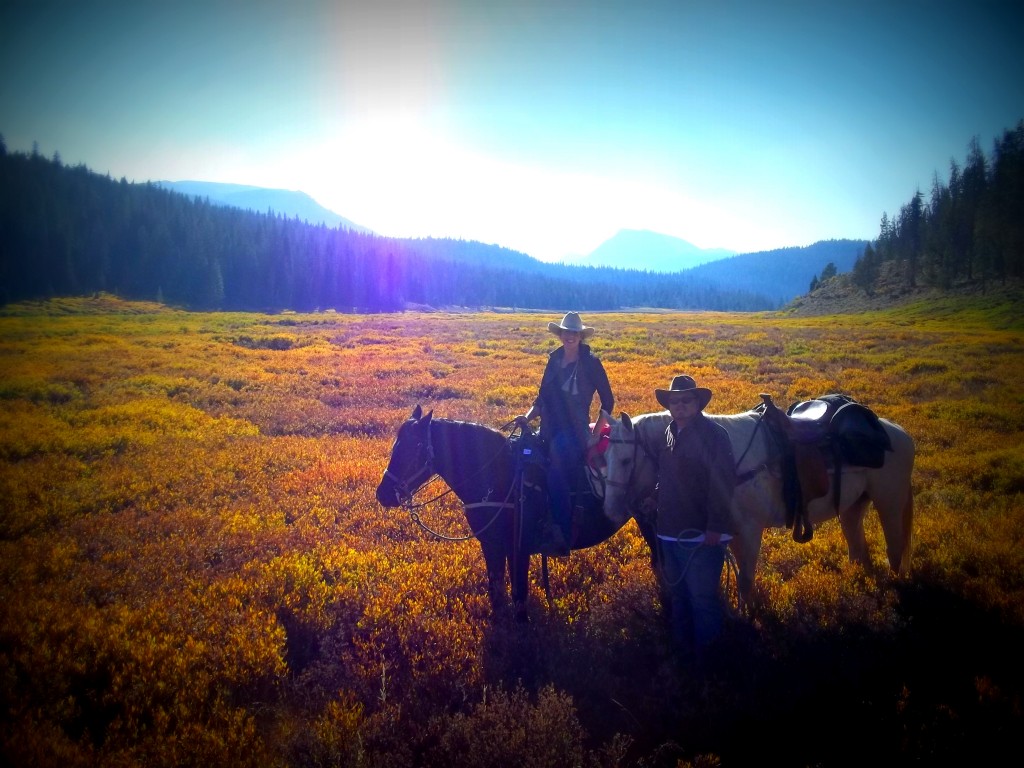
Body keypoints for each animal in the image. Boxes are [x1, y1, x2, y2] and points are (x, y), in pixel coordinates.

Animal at [376, 405, 655, 622]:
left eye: (415, 447)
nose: (383, 494)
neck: (499, 477)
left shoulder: (519, 547)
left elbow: (519, 595)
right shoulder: (492, 545)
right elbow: (497, 591)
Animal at [598, 403, 917, 606]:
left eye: (625, 460)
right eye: (604, 458)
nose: (610, 511)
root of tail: (898, 432)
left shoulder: (750, 532)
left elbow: (745, 581)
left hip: (890, 501)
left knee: (894, 548)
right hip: (854, 506)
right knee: (858, 548)